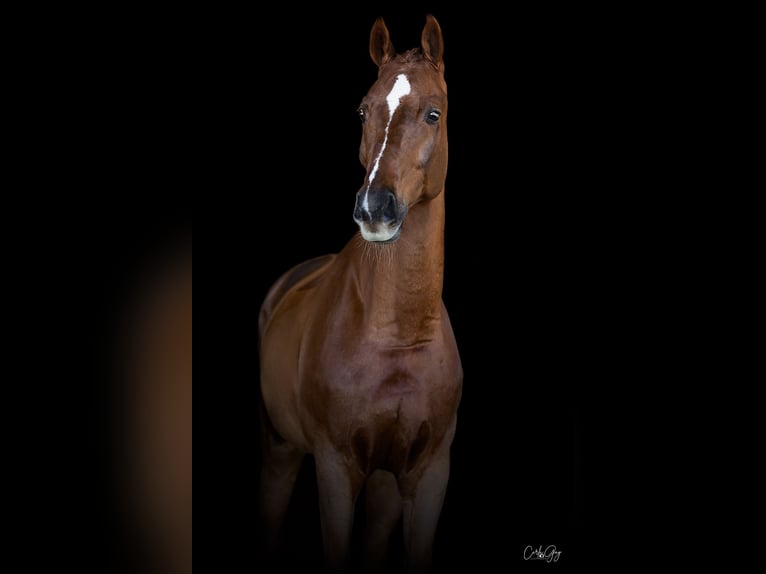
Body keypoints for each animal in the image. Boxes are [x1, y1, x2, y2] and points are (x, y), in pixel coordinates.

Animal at [258, 15, 462, 572]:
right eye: (363, 110)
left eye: (433, 114)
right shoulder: (334, 468)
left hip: (385, 485)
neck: (398, 336)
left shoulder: (429, 474)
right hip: (281, 449)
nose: (375, 208)